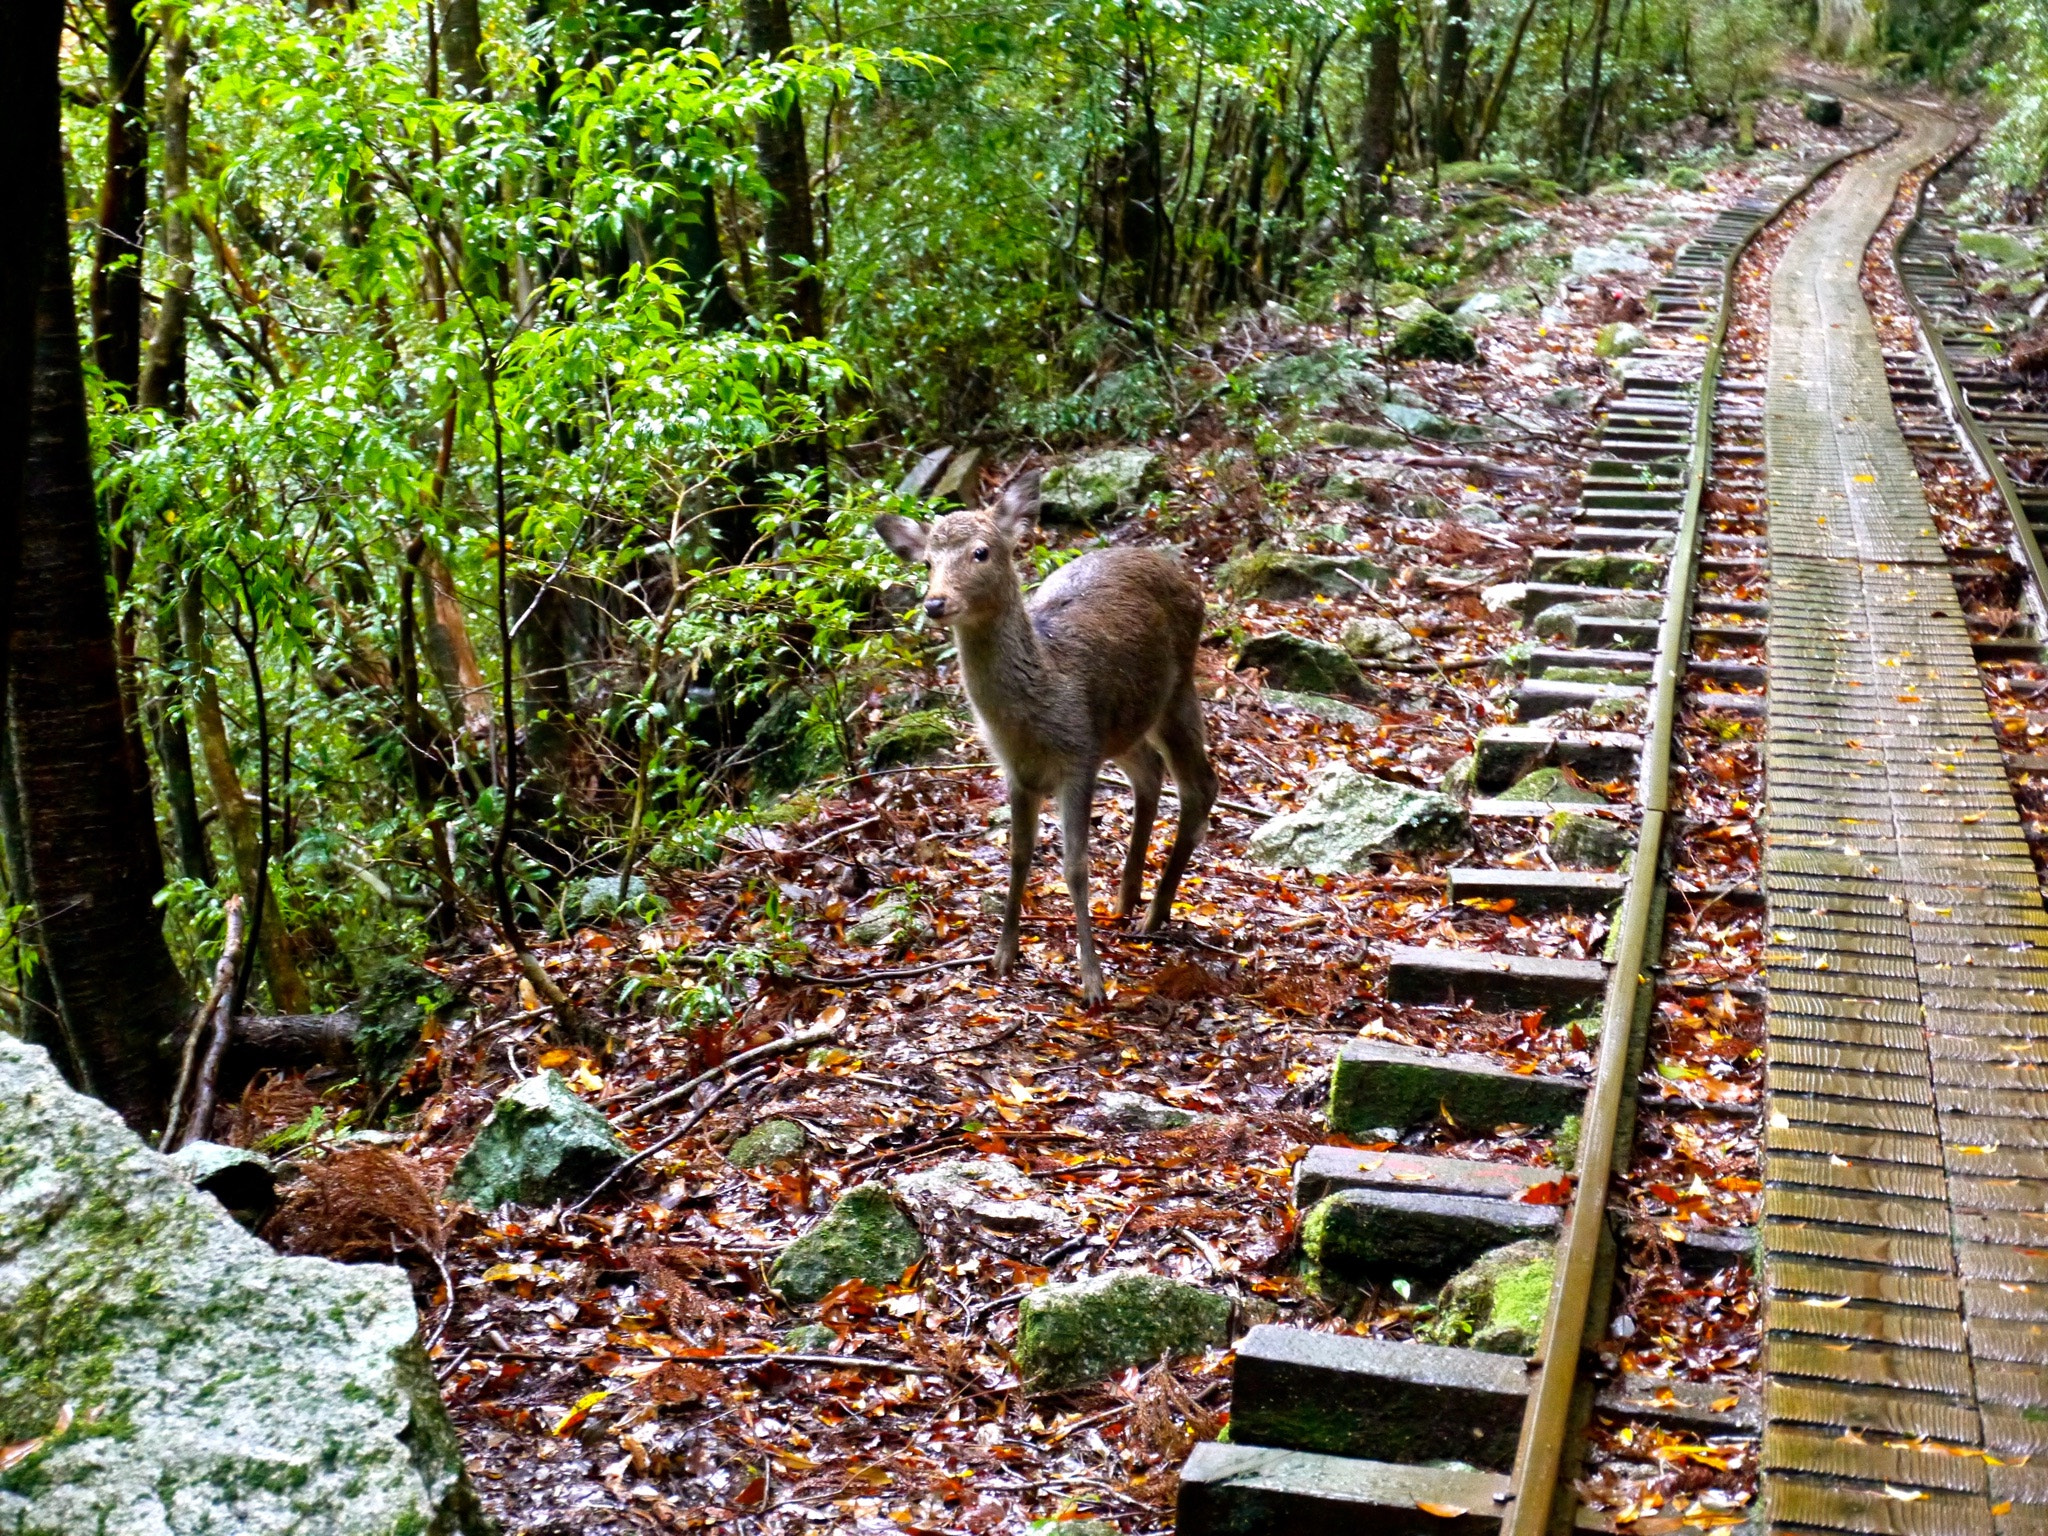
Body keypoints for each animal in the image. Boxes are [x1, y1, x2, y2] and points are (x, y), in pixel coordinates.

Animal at [876, 468, 1212, 1011]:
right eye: (926, 561)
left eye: (981, 552)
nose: (935, 603)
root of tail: (1186, 576)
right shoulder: (1017, 771)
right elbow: (1017, 855)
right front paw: (1003, 956)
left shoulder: (1077, 759)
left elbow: (1074, 865)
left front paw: (1093, 982)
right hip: (1123, 727)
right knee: (1149, 772)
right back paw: (1126, 899)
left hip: (1178, 688)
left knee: (1200, 785)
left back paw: (1154, 914)